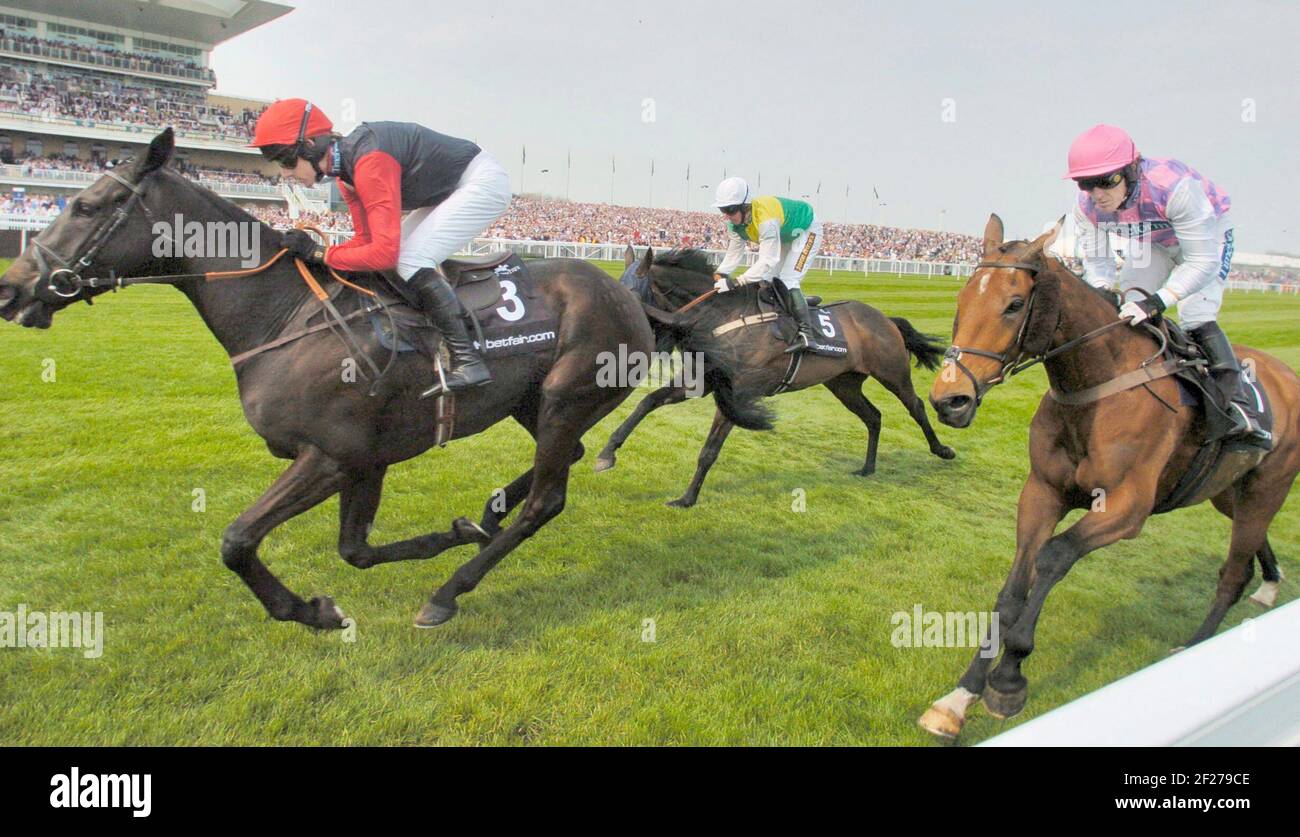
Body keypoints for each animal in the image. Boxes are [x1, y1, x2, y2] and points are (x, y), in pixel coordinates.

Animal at [0, 129, 655, 629]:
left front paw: (311, 613)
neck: (286, 316)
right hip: (536, 404)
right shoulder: (367, 460)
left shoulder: (330, 455)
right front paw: (457, 529)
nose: (12, 289)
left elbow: (237, 540)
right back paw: (488, 515)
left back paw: (447, 592)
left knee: (547, 499)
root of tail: (625, 293)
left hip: (567, 396)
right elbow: (356, 550)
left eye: (86, 207)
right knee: (566, 458)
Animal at [598, 245, 956, 506]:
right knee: (874, 416)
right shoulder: (701, 382)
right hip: (844, 384)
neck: (720, 317)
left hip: (892, 372)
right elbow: (647, 402)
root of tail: (885, 318)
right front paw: (607, 453)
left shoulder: (737, 393)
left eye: (627, 299)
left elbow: (709, 451)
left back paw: (942, 450)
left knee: (916, 406)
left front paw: (687, 499)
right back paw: (867, 467)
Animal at [920, 214, 1294, 738]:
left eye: (1014, 304)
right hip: (1227, 492)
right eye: (961, 299)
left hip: (1268, 487)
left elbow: (1054, 556)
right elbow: (1014, 588)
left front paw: (1010, 678)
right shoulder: (1042, 491)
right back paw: (1270, 584)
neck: (1095, 386)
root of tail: (1285, 374)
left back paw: (1193, 643)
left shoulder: (1126, 507)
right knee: (1252, 541)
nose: (949, 400)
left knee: (1233, 571)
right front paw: (960, 697)